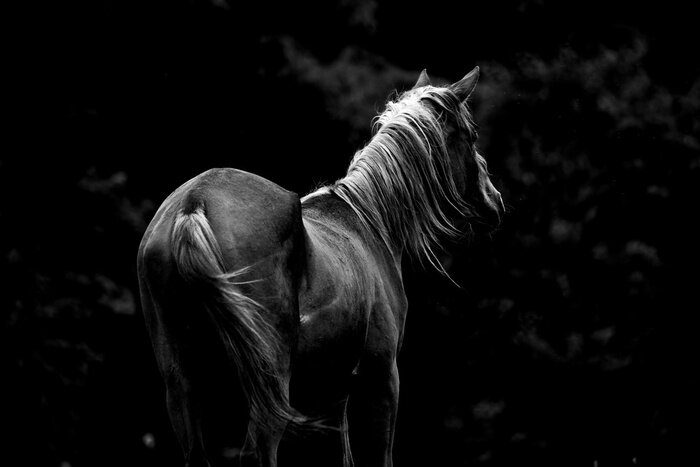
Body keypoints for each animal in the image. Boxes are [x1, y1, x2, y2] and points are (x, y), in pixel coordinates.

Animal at [137, 66, 503, 467]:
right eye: (471, 135)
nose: (494, 199)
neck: (369, 221)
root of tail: (194, 201)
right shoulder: (381, 377)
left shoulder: (331, 392)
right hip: (271, 379)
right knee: (260, 448)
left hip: (184, 383)